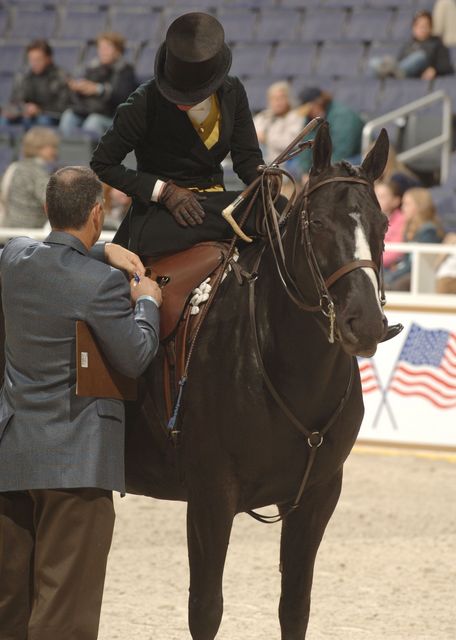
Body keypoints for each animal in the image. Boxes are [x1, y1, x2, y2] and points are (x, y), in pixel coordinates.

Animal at [123, 122, 390, 636]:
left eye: (383, 226)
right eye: (317, 223)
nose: (365, 323)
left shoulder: (316, 498)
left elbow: (295, 606)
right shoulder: (209, 498)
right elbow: (206, 609)